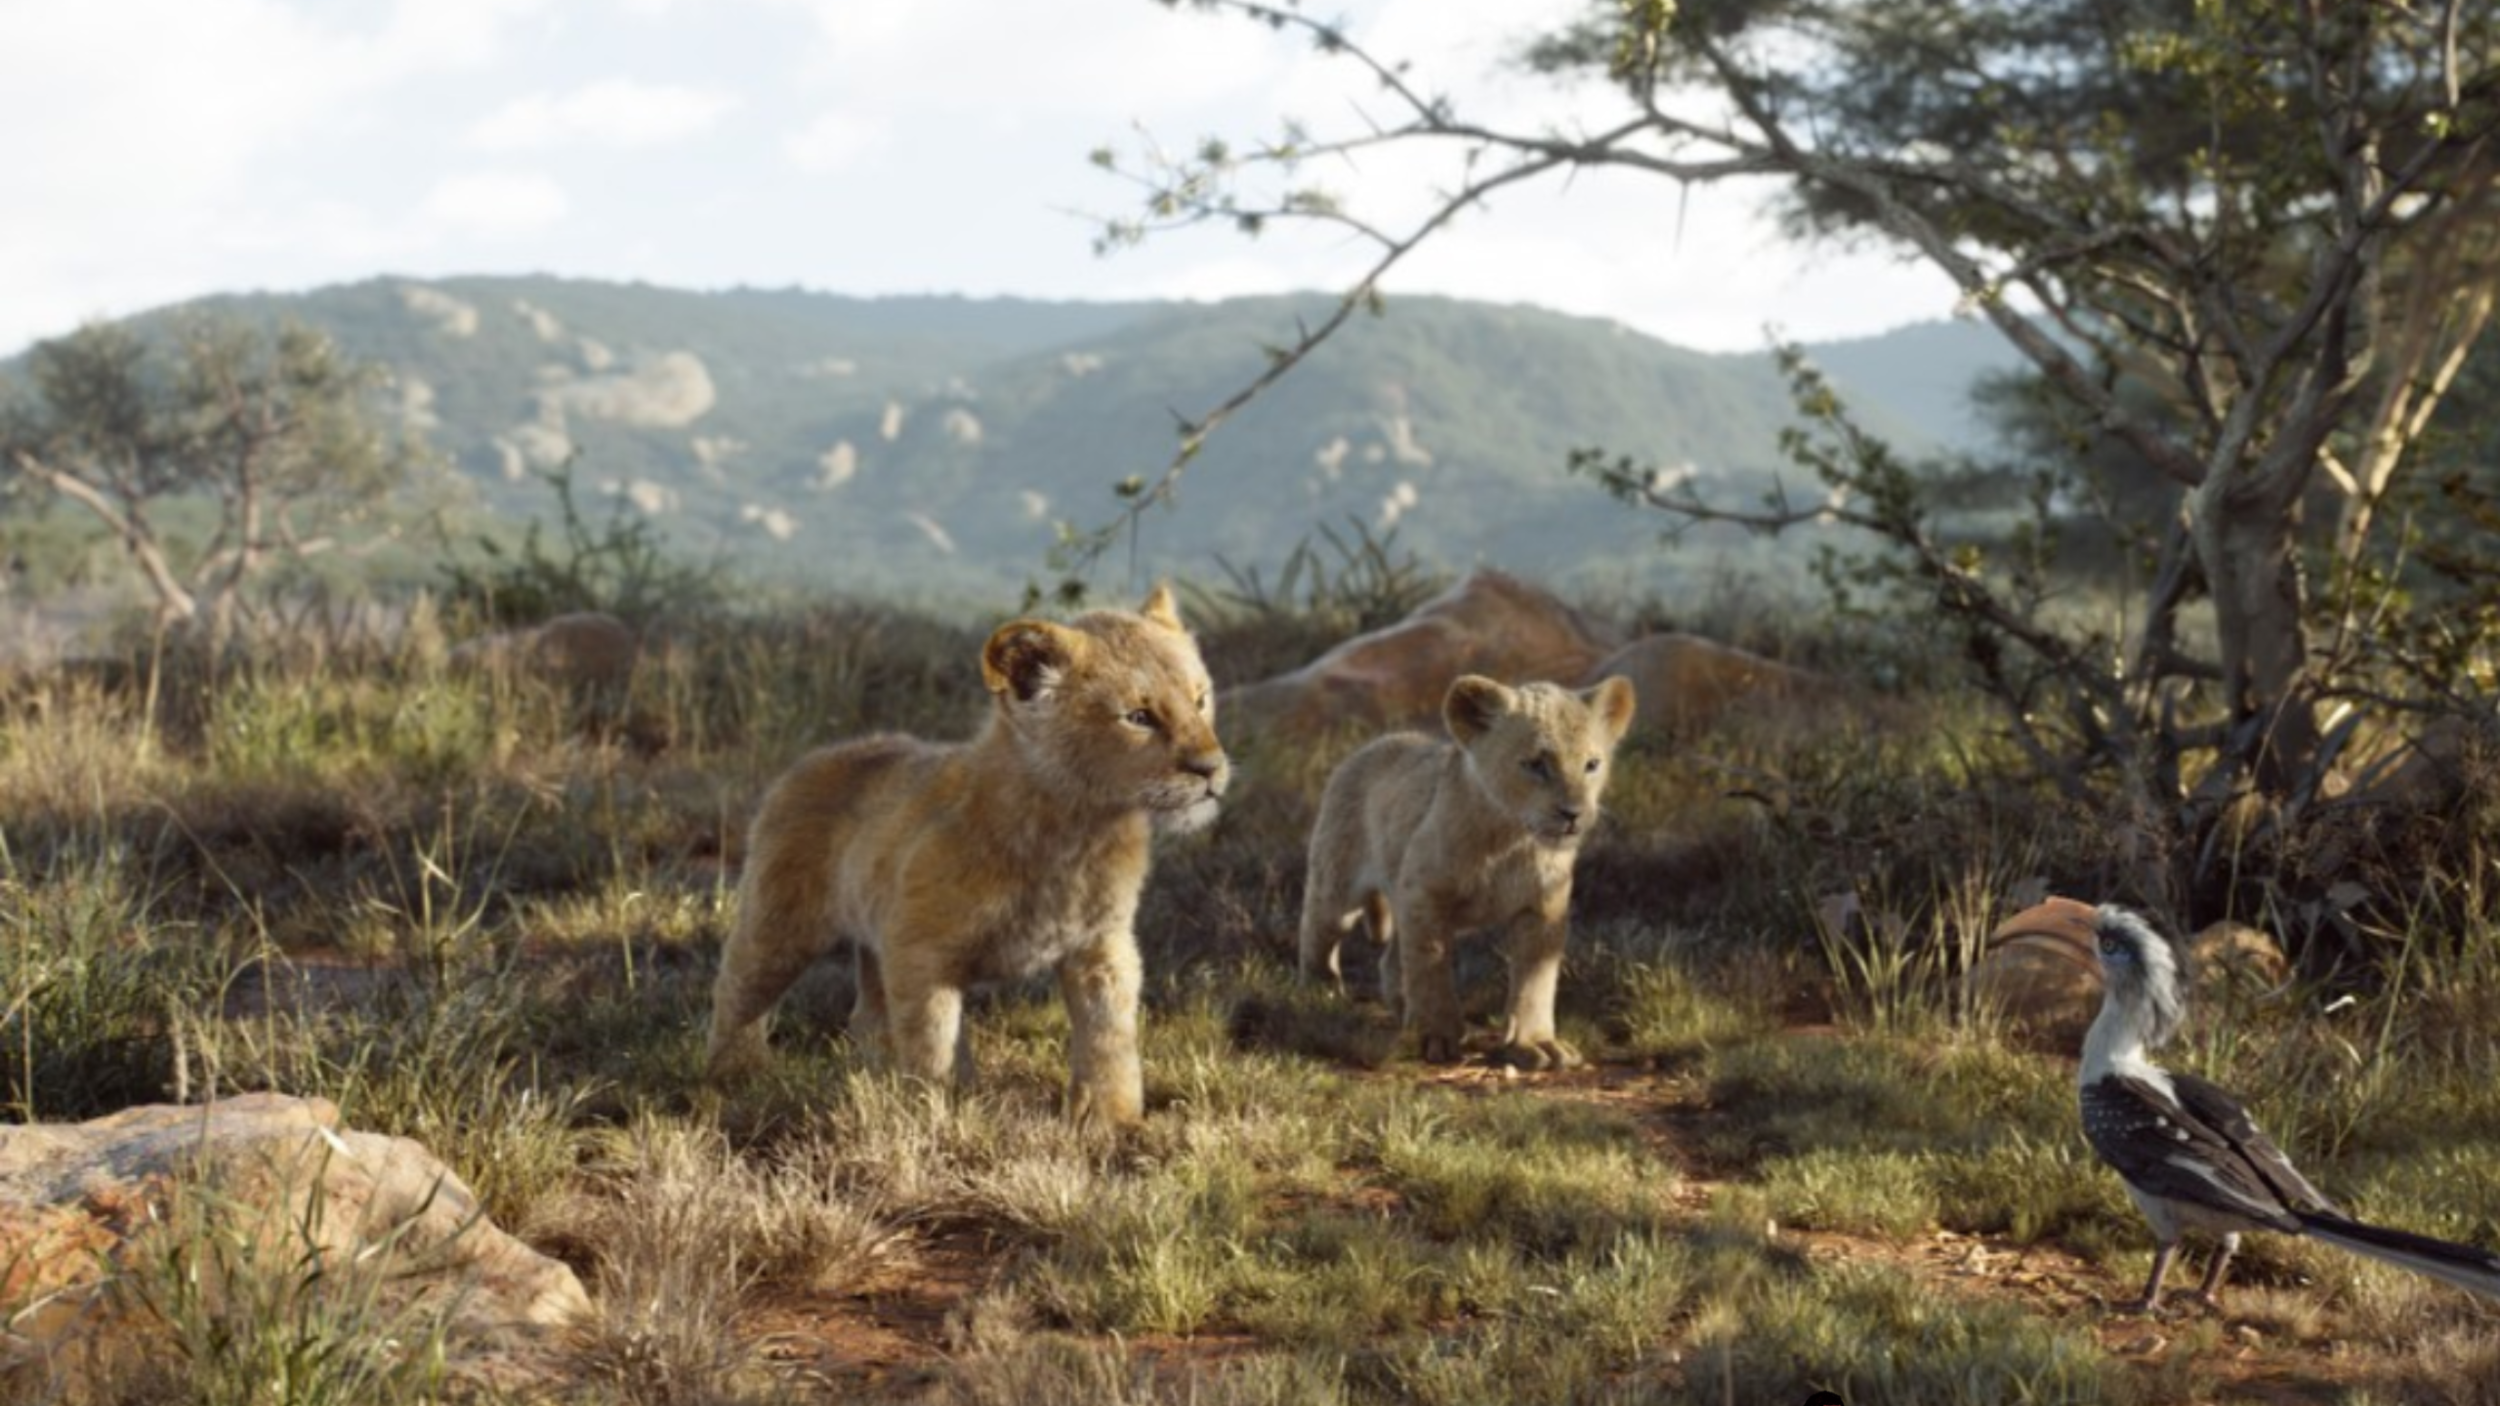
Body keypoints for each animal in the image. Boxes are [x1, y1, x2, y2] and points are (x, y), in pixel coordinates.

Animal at [705, 585, 1228, 1128]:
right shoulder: (920, 952)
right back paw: (732, 1077)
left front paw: (1112, 1123)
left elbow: (1110, 1038)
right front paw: (933, 1115)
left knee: (867, 1017)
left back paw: (871, 1080)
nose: (1211, 769)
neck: (1077, 832)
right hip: (778, 926)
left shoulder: (1102, 947)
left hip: (872, 938)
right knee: (737, 991)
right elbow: (932, 1046)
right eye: (1139, 717)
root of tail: (813, 759)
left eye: (1201, 699)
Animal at [1298, 673, 1636, 1069]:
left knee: (1390, 960)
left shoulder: (1544, 906)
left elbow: (1536, 978)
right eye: (1536, 764)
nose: (1573, 814)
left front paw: (1535, 1042)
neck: (1512, 840)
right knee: (1319, 929)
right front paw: (1436, 1038)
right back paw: (1320, 992)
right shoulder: (1424, 893)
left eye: (1592, 764)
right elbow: (1430, 966)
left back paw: (1402, 1009)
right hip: (1337, 883)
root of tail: (1377, 743)